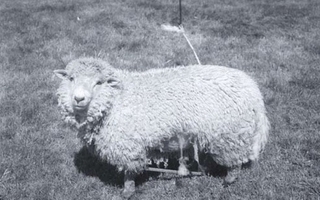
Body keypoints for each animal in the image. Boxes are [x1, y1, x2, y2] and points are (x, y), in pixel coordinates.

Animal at [53, 57, 268, 198]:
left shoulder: (128, 146)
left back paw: (229, 179)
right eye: (71, 79)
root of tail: (253, 89)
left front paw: (127, 191)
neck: (115, 99)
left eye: (98, 83)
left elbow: (129, 171)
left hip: (228, 134)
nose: (78, 99)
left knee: (235, 160)